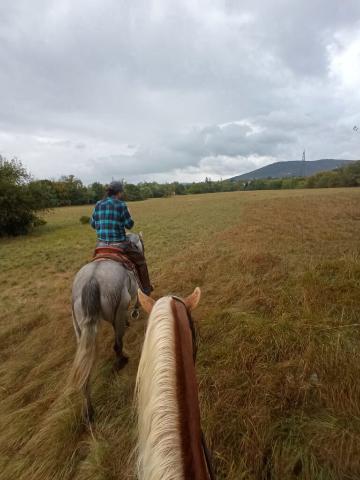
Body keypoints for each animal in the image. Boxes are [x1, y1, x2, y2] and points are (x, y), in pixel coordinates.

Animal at [68, 232, 141, 420]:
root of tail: (92, 280)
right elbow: (139, 296)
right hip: (118, 309)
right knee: (117, 343)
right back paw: (121, 360)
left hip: (79, 327)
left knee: (85, 365)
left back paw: (88, 410)